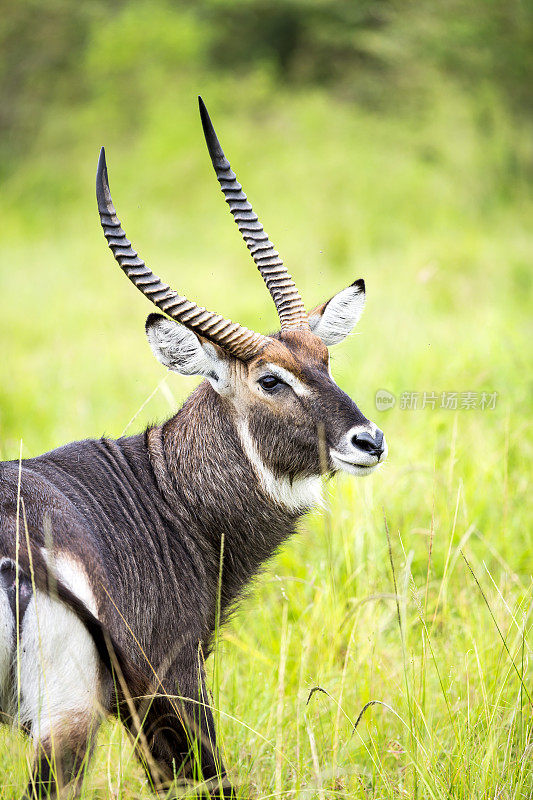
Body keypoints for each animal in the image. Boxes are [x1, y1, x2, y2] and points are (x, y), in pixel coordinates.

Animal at [0, 98, 386, 792]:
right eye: (270, 379)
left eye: (326, 360)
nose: (368, 442)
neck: (161, 489)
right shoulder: (172, 680)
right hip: (68, 719)